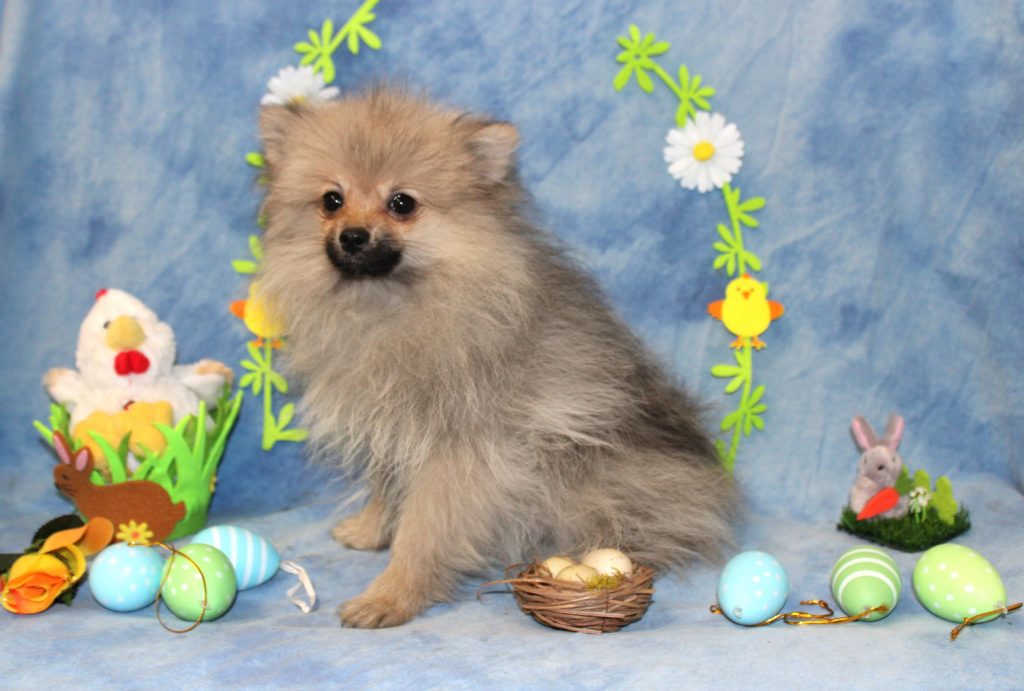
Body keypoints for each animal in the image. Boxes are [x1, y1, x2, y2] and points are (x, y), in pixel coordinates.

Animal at [256, 87, 738, 628]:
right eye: (331, 201)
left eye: (402, 203)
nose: (353, 235)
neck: (392, 304)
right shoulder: (391, 427)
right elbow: (387, 486)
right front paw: (370, 530)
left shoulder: (461, 452)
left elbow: (423, 529)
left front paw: (390, 595)